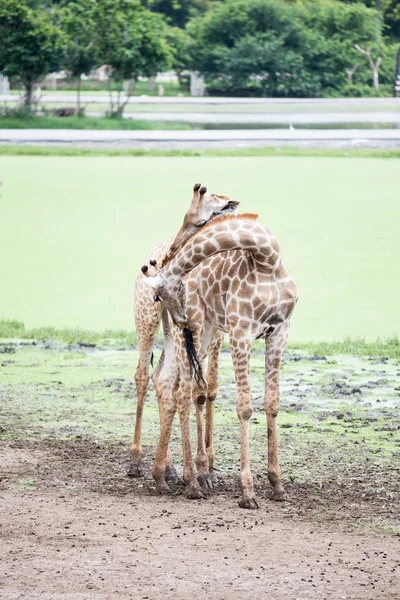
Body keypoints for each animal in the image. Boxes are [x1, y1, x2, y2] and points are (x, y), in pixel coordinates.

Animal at [128, 183, 238, 478]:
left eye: (200, 222)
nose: (169, 255)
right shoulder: (196, 330)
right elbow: (196, 390)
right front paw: (202, 468)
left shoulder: (218, 335)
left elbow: (209, 389)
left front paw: (209, 461)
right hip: (147, 320)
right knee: (144, 376)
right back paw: (136, 459)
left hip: (172, 332)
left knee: (162, 379)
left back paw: (167, 467)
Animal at [143, 213, 296, 508]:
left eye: (160, 294)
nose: (180, 318)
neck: (267, 258)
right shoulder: (241, 332)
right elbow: (244, 407)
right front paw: (247, 492)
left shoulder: (280, 332)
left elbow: (272, 403)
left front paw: (278, 486)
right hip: (194, 333)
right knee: (181, 392)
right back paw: (191, 482)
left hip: (203, 333)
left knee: (166, 382)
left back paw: (161, 476)